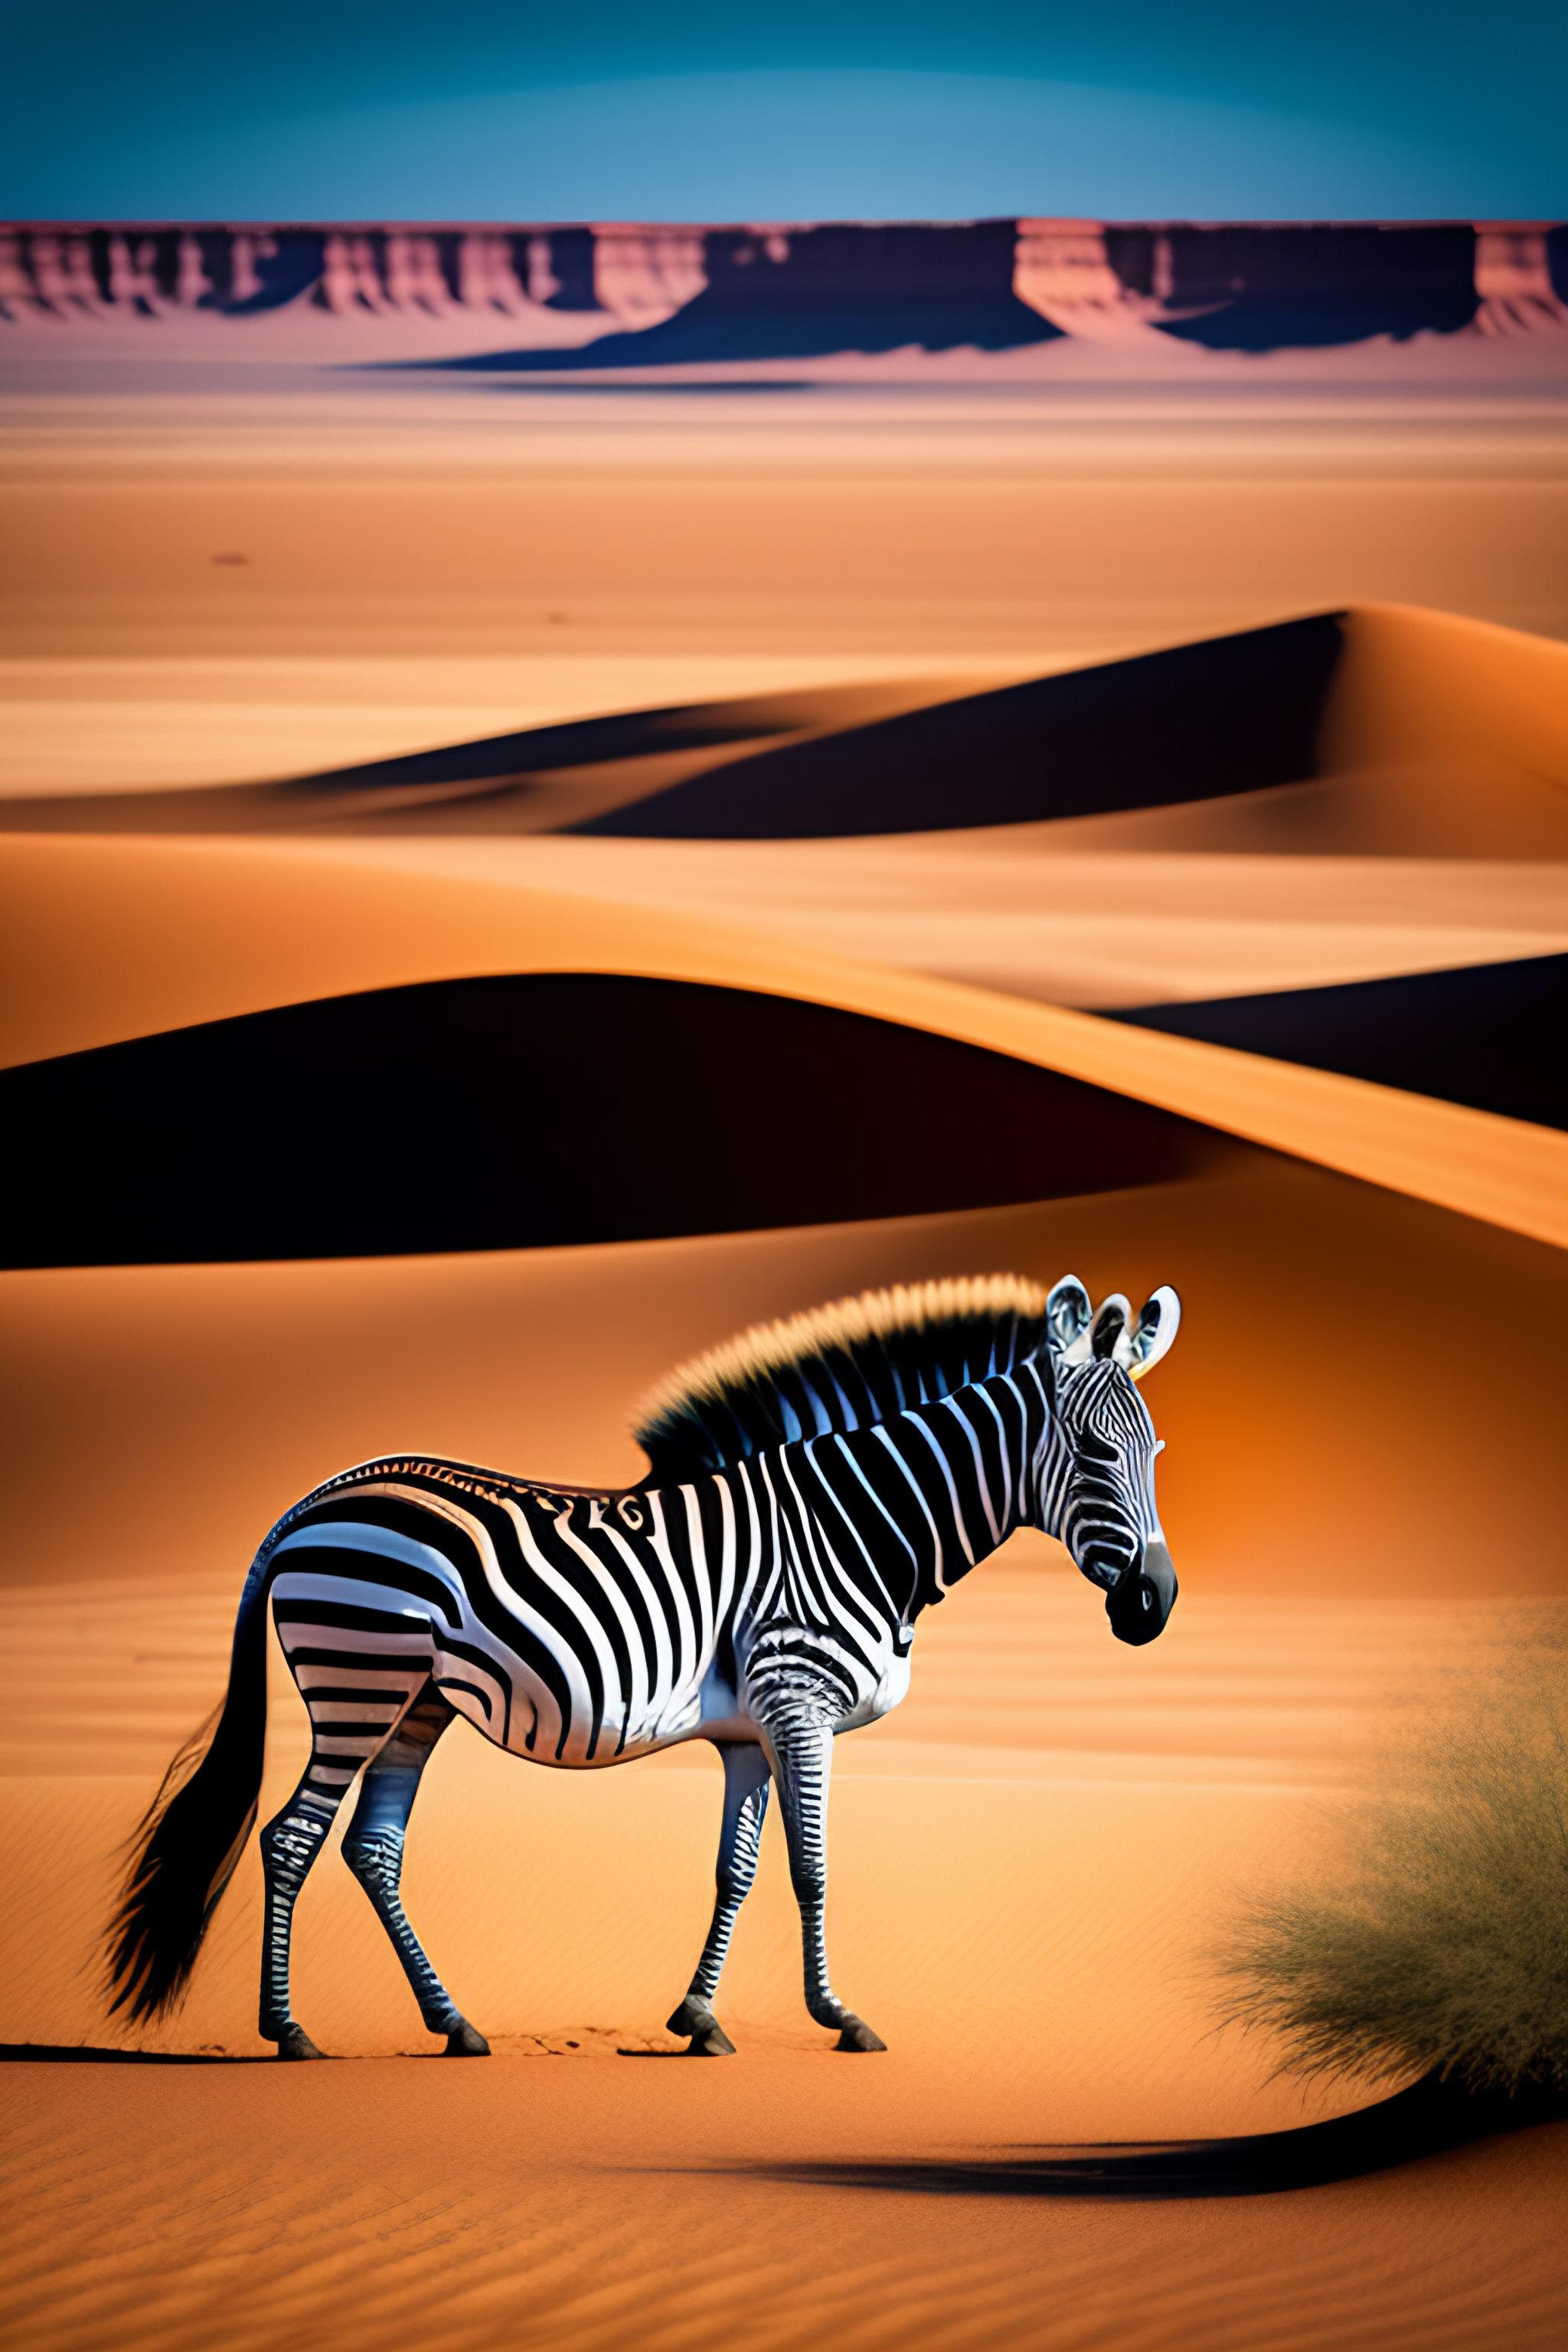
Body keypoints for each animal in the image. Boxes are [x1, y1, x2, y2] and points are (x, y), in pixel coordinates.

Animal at [106, 1270, 1181, 2059]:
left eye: (1156, 1451)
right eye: (1094, 1454)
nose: (1153, 1606)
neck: (861, 1523)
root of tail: (323, 1494)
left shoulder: (752, 1727)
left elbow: (735, 1870)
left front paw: (699, 2022)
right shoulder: (799, 1701)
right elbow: (813, 1867)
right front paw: (839, 2018)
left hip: (416, 1702)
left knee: (371, 1848)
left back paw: (454, 2025)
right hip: (357, 1680)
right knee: (290, 1836)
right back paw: (289, 2031)